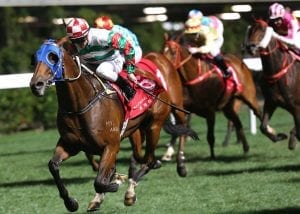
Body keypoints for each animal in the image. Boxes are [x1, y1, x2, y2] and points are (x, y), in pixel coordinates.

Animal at [29, 37, 196, 211]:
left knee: (153, 156)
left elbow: (100, 181)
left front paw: (114, 183)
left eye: (53, 57)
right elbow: (53, 166)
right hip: (136, 131)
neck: (80, 106)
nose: (36, 85)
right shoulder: (70, 144)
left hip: (156, 124)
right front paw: (71, 202)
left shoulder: (111, 146)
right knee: (142, 157)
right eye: (34, 58)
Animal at [245, 19, 298, 149]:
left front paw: (292, 139)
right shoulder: (271, 102)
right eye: (250, 30)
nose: (250, 47)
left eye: (263, 30)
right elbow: (263, 127)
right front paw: (279, 136)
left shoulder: (296, 106)